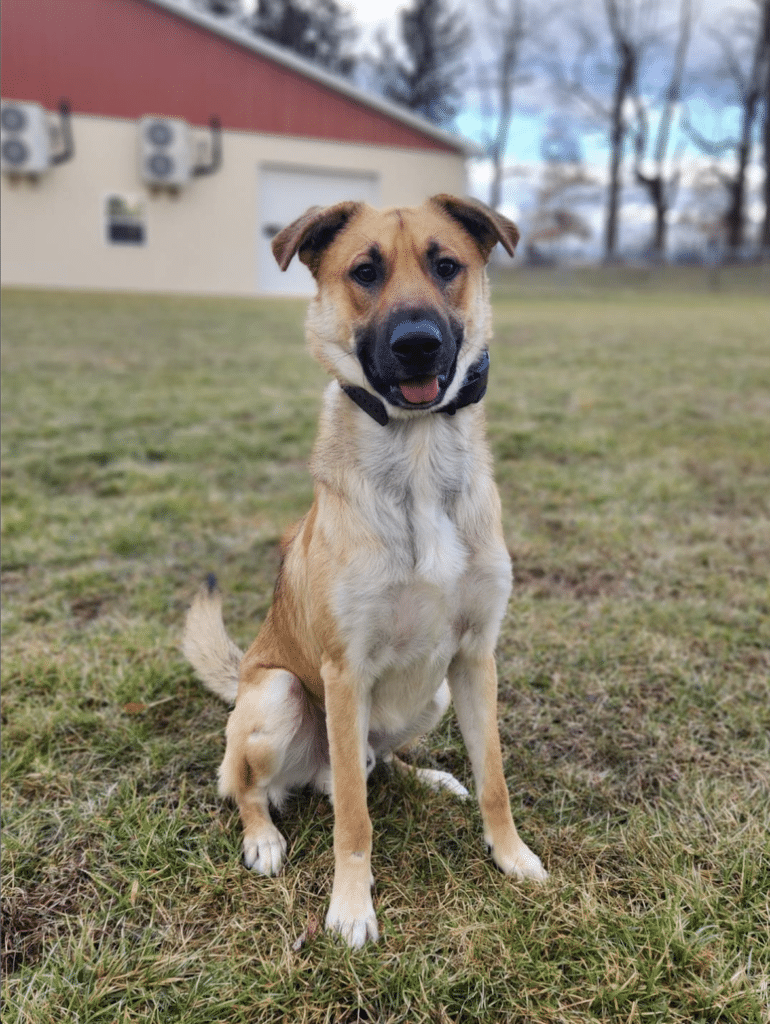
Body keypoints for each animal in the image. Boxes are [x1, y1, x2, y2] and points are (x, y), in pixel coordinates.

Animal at [182, 194, 547, 948]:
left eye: (447, 266)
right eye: (365, 271)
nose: (417, 343)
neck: (418, 449)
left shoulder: (476, 658)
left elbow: (494, 778)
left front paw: (511, 854)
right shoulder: (344, 672)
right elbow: (354, 815)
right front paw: (351, 907)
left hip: (433, 695)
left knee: (379, 761)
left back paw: (426, 777)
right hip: (277, 697)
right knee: (253, 786)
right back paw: (263, 839)